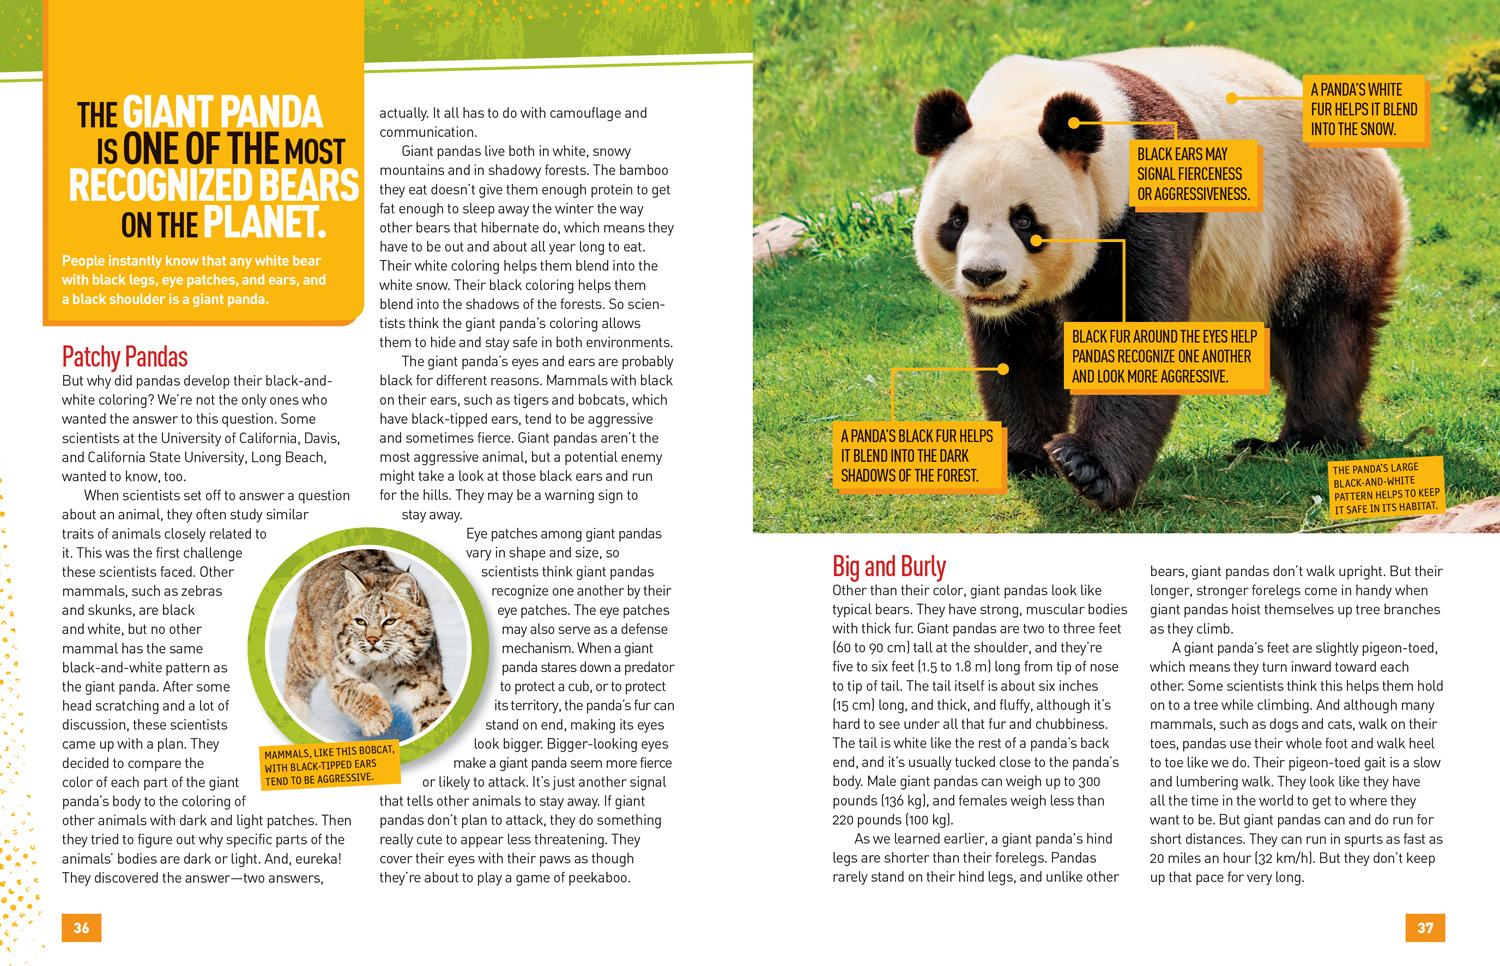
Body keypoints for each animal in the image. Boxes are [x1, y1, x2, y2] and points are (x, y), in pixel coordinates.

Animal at [911, 46, 1408, 510]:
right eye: (956, 220)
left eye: (1025, 221)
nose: (984, 275)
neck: (1031, 99)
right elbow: (1018, 349)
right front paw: (1026, 457)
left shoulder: (1142, 199)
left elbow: (1132, 334)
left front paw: (1087, 467)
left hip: (1319, 213)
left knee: (1321, 330)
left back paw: (1312, 439)